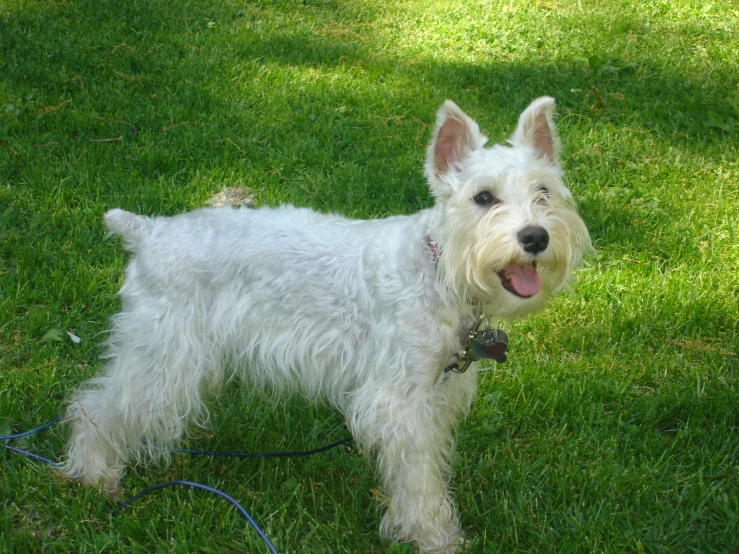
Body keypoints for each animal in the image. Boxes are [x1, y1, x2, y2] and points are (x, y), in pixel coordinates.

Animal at [66, 97, 592, 548]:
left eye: (544, 192)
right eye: (483, 197)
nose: (535, 237)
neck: (437, 267)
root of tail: (147, 232)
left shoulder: (434, 393)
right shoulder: (399, 403)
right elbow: (419, 477)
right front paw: (436, 537)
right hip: (161, 358)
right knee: (94, 406)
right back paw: (95, 477)